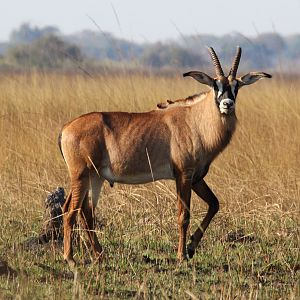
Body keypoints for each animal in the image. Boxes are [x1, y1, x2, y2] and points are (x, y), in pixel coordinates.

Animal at [58, 46, 272, 268]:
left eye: (237, 86)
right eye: (215, 85)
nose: (227, 104)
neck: (196, 120)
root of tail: (65, 129)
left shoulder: (196, 178)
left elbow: (214, 204)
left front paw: (191, 248)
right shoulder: (183, 175)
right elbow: (183, 215)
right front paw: (181, 255)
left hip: (95, 178)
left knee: (85, 211)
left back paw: (99, 255)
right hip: (81, 176)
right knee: (71, 211)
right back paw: (70, 258)